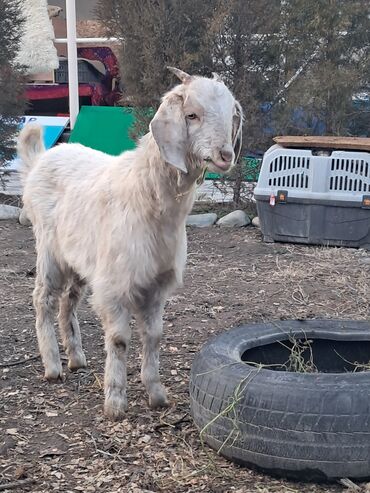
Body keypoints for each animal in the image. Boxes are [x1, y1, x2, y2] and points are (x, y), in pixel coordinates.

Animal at [17, 66, 244, 418]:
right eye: (191, 115)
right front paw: (115, 401)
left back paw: (76, 358)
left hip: (81, 259)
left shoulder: (156, 284)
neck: (147, 194)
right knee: (43, 299)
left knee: (69, 301)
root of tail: (42, 159)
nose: (225, 155)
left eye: (230, 115)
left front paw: (156, 393)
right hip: (49, 250)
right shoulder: (115, 285)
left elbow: (153, 337)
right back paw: (53, 366)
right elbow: (119, 340)